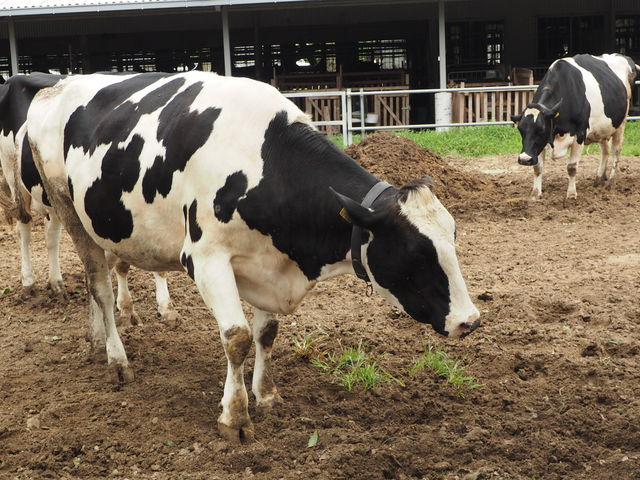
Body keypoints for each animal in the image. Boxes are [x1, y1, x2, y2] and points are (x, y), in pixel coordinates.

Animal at [0, 73, 175, 324]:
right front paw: (127, 308)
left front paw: (160, 308)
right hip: (14, 179)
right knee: (23, 228)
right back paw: (29, 282)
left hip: (53, 197)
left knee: (51, 235)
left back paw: (56, 283)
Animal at [25, 73, 482, 444]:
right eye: (415, 252)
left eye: (454, 236)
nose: (470, 321)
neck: (263, 163)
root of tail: (57, 85)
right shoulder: (206, 258)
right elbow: (237, 337)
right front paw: (235, 417)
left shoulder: (270, 265)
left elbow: (266, 333)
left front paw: (266, 394)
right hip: (68, 209)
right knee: (99, 286)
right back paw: (117, 360)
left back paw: (96, 339)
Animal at [512, 53, 636, 200]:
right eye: (520, 130)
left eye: (541, 129)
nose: (524, 159)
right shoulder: (541, 142)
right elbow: (538, 167)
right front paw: (535, 194)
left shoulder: (579, 135)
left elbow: (571, 168)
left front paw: (571, 194)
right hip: (603, 129)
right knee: (605, 151)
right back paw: (599, 179)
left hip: (620, 124)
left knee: (616, 151)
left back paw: (611, 183)